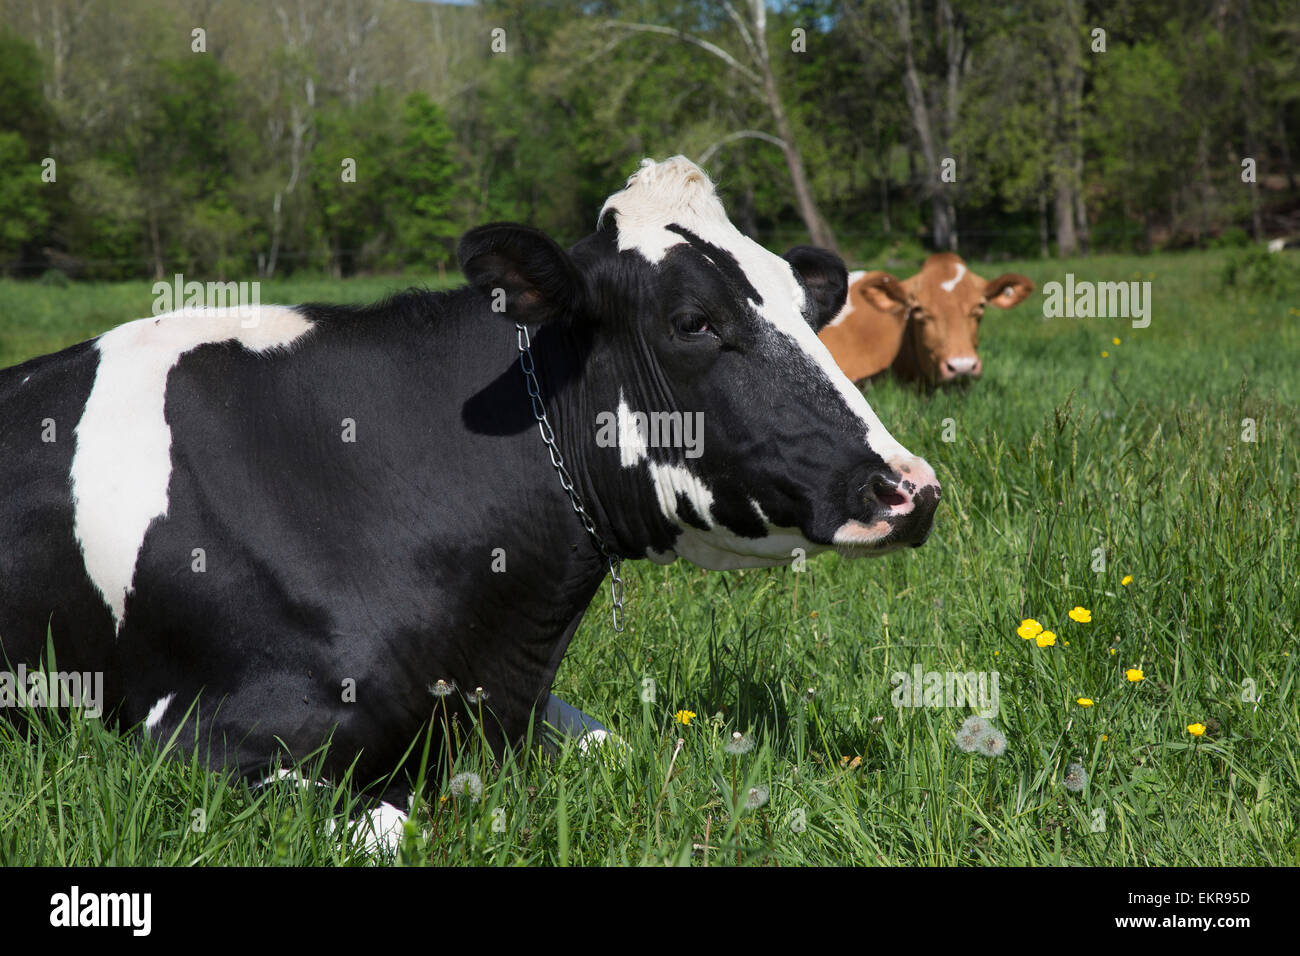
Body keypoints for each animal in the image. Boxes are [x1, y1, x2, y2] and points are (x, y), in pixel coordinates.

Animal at [0, 156, 940, 839]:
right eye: (693, 321)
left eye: (807, 311)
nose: (911, 487)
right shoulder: (192, 739)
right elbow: (399, 829)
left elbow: (620, 747)